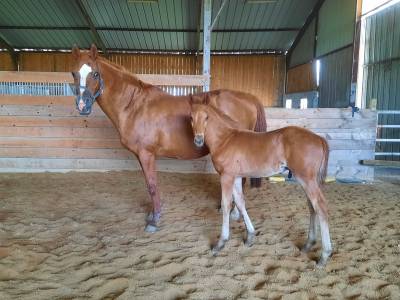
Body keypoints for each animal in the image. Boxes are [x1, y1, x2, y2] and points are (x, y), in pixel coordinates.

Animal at [190, 103, 332, 268]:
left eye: (207, 117)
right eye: (191, 117)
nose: (198, 140)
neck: (225, 139)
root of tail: (319, 138)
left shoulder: (226, 177)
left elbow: (226, 205)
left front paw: (220, 243)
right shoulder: (236, 177)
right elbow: (240, 202)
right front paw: (250, 236)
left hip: (306, 179)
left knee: (320, 206)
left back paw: (324, 256)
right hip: (307, 181)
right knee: (312, 207)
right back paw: (308, 244)